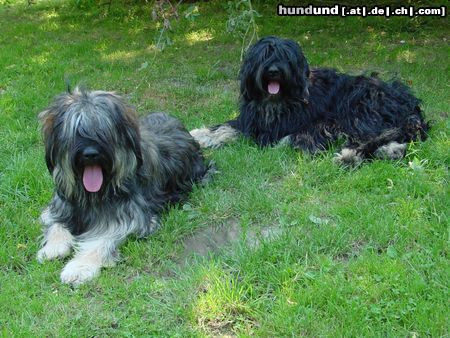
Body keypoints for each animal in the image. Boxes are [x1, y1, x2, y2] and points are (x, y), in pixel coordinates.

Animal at [37, 88, 208, 286]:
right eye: (76, 131)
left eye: (103, 131)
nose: (90, 154)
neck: (92, 195)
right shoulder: (61, 205)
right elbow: (56, 224)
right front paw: (53, 248)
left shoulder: (130, 218)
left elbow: (101, 239)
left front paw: (79, 267)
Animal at [191, 35, 428, 165]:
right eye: (265, 54)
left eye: (286, 57)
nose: (274, 71)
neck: (276, 101)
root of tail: (406, 101)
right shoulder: (251, 120)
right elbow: (225, 127)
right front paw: (199, 135)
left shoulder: (325, 121)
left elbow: (298, 135)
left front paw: (290, 142)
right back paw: (391, 150)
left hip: (360, 107)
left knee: (370, 137)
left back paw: (349, 156)